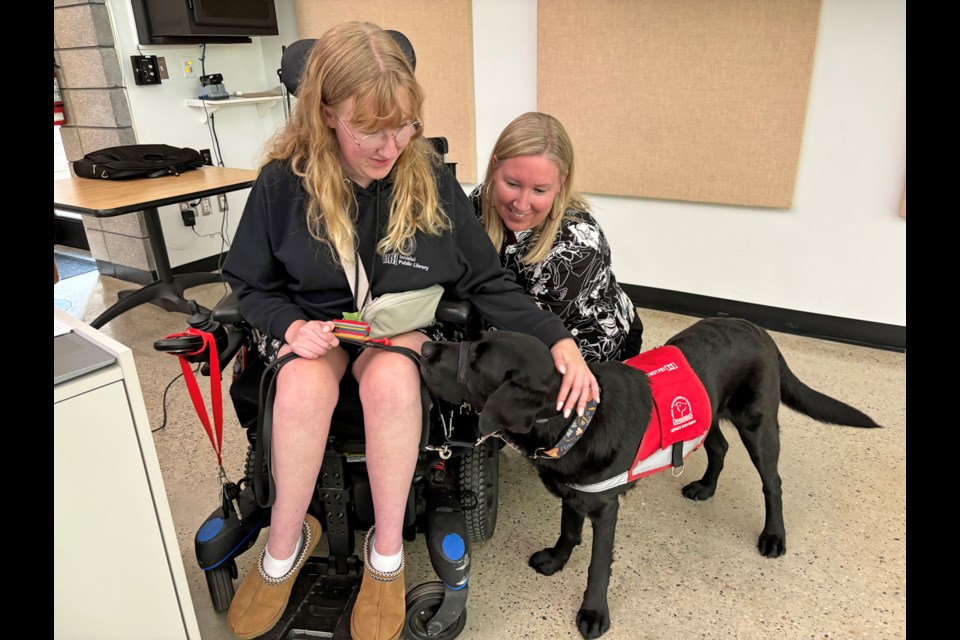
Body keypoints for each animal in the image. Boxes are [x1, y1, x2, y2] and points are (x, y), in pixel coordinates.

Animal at [420, 320, 876, 640]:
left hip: (759, 424)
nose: (423, 347)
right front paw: (556, 559)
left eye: (476, 361)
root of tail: (758, 329)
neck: (573, 420)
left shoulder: (605, 507)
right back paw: (705, 487)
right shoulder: (575, 492)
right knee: (718, 447)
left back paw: (774, 536)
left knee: (773, 482)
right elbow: (568, 530)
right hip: (705, 414)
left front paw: (593, 614)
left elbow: (598, 566)